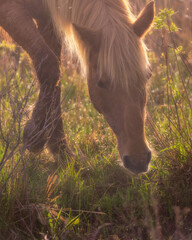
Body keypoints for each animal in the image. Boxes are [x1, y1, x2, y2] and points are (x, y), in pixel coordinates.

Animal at [0, 0, 154, 173]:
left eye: (148, 75)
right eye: (101, 83)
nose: (138, 160)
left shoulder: (47, 20)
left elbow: (56, 77)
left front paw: (61, 151)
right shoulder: (9, 11)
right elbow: (49, 67)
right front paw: (35, 137)